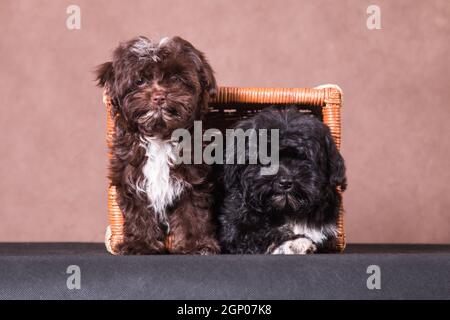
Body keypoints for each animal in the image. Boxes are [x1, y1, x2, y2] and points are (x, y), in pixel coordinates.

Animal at [218, 107, 348, 255]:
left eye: (303, 158)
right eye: (265, 158)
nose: (285, 182)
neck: (287, 210)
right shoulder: (236, 230)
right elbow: (262, 234)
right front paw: (295, 242)